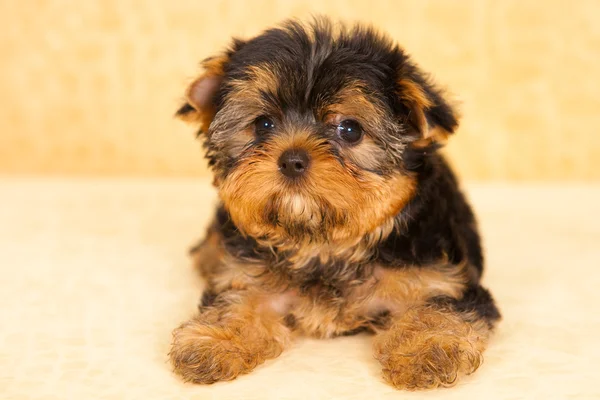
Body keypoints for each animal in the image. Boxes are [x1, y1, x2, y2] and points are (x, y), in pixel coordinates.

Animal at [170, 18, 502, 390]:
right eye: (263, 124)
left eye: (350, 130)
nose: (292, 160)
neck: (324, 245)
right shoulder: (248, 278)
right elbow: (237, 298)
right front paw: (214, 340)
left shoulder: (440, 278)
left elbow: (434, 307)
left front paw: (427, 349)